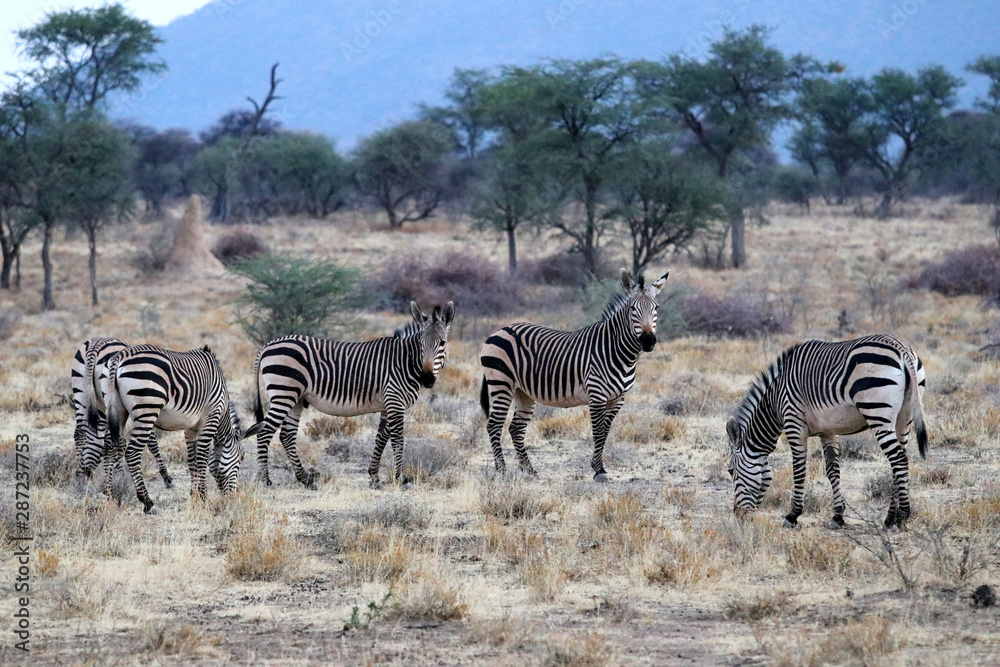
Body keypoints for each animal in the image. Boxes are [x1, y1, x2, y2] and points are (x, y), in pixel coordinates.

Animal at [70, 337, 172, 487]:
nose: (85, 477)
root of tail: (95, 346)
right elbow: (150, 441)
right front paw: (165, 476)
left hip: (81, 392)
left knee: (80, 433)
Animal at [105, 344, 260, 514]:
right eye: (242, 457)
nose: (232, 496)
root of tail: (120, 357)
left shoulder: (190, 428)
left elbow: (192, 460)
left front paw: (194, 495)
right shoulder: (210, 418)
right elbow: (202, 457)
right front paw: (203, 496)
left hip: (117, 409)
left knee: (110, 448)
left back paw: (109, 496)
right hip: (147, 408)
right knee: (132, 453)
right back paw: (148, 503)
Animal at [251, 301, 455, 489]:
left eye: (442, 343)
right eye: (421, 343)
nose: (427, 378)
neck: (404, 362)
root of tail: (268, 344)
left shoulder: (387, 405)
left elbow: (382, 437)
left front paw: (374, 477)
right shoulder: (395, 400)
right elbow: (398, 439)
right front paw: (401, 479)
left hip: (296, 399)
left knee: (287, 435)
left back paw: (306, 479)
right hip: (284, 393)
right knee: (264, 432)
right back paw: (266, 481)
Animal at [480, 269, 668, 482]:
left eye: (656, 307)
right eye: (632, 309)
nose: (648, 341)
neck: (618, 352)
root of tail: (500, 330)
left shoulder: (618, 399)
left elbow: (605, 432)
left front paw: (597, 467)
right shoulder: (597, 395)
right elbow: (598, 432)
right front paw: (599, 470)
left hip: (522, 392)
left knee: (515, 428)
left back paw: (529, 470)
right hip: (501, 384)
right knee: (494, 425)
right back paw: (502, 470)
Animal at [726, 334, 927, 531]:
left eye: (730, 471)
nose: (738, 515)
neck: (775, 400)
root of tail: (902, 349)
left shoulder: (794, 425)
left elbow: (799, 469)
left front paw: (793, 515)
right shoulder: (828, 431)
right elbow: (832, 470)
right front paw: (838, 516)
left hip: (877, 413)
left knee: (899, 460)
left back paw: (901, 518)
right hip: (904, 419)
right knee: (898, 462)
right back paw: (889, 519)